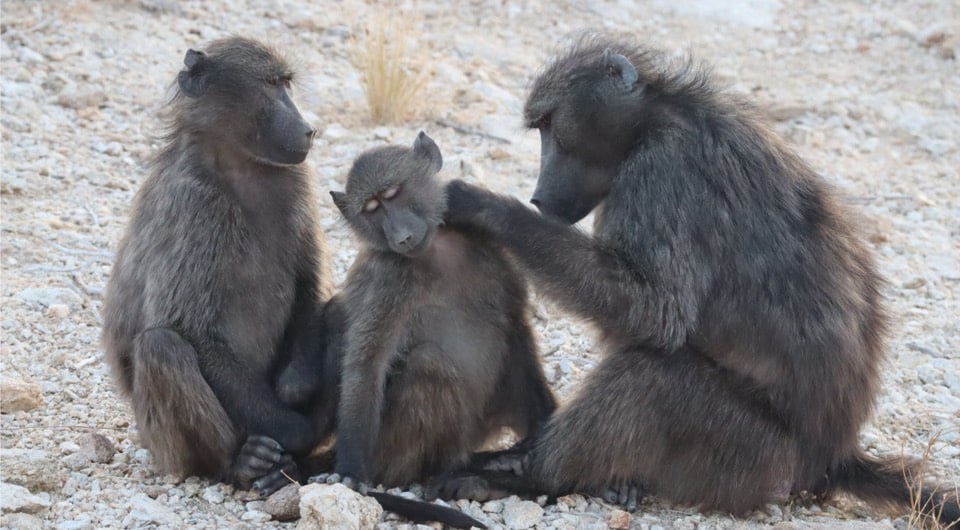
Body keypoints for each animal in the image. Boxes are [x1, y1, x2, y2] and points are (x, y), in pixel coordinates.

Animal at [101, 37, 339, 492]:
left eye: (286, 83)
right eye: (270, 85)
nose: (308, 130)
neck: (237, 163)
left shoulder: (297, 181)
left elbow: (312, 286)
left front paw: (296, 384)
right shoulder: (193, 204)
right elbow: (188, 327)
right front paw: (299, 430)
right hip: (165, 445)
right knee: (162, 347)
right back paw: (241, 463)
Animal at [327, 131, 556, 499]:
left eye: (393, 194)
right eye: (371, 210)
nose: (401, 237)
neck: (437, 247)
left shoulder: (491, 250)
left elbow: (516, 326)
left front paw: (543, 426)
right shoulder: (386, 278)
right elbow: (367, 363)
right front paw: (350, 470)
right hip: (392, 451)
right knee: (429, 364)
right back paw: (453, 471)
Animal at [430, 34, 959, 525]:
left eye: (549, 125)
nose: (539, 196)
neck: (656, 116)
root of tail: (833, 460)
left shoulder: (661, 173)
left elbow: (657, 313)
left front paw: (487, 208)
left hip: (753, 461)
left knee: (650, 377)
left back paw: (525, 477)